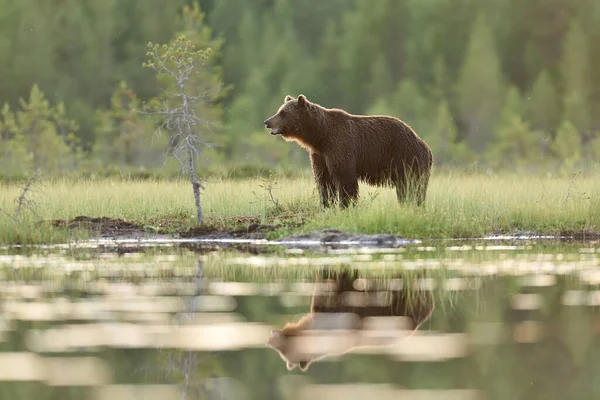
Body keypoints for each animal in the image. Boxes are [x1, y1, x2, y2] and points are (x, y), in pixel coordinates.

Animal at [262, 94, 432, 206]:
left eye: (283, 113)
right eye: (279, 110)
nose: (267, 121)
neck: (320, 136)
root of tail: (424, 145)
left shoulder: (340, 146)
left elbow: (344, 178)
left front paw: (346, 204)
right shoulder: (320, 155)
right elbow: (324, 181)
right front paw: (326, 204)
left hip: (407, 157)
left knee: (414, 187)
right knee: (406, 190)